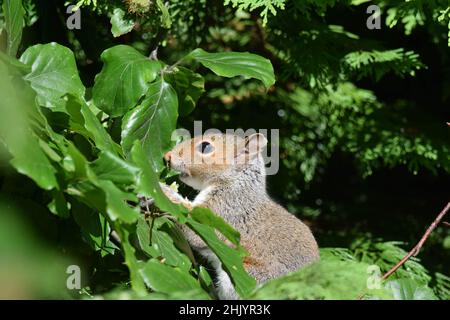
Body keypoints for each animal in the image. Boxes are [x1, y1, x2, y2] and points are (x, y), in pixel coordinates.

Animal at [159, 132, 320, 300]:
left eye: (205, 147)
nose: (167, 156)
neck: (235, 182)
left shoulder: (224, 212)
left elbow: (195, 231)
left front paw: (164, 191)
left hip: (246, 276)